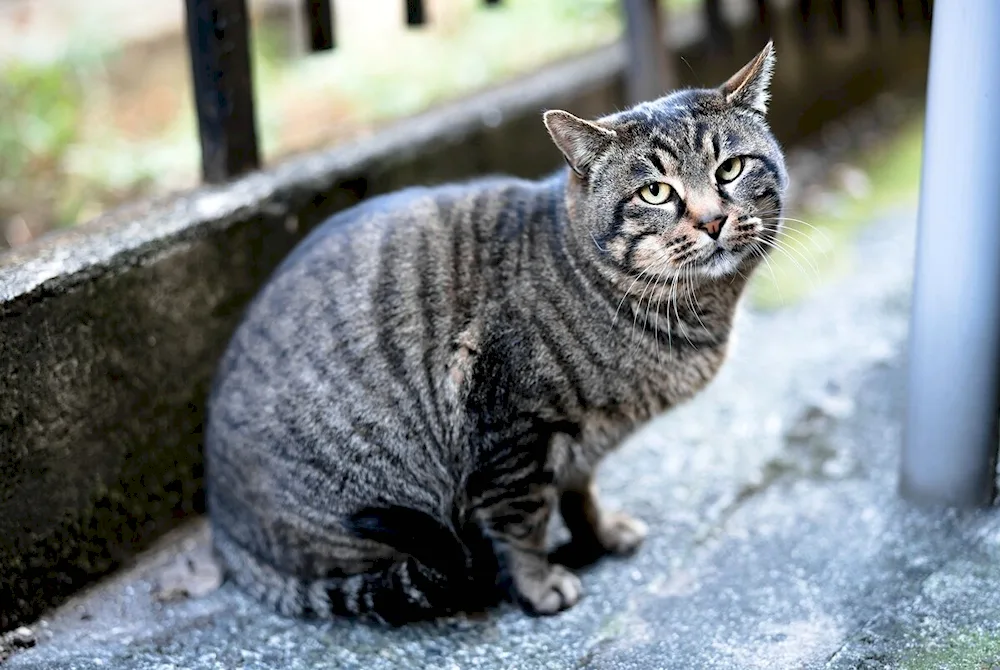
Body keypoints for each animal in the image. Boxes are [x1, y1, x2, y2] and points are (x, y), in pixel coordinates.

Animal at [207, 44, 788, 628]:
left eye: (730, 169)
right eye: (655, 192)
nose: (712, 220)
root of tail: (228, 541)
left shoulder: (580, 445)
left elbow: (580, 494)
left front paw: (602, 534)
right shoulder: (509, 434)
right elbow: (523, 524)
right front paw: (540, 587)